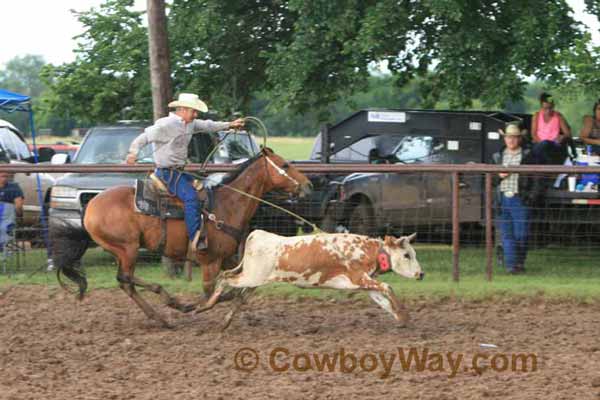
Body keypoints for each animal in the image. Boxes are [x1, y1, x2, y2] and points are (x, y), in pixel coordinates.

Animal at [51, 148, 312, 326]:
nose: (308, 185)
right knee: (125, 278)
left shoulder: (227, 258)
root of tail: (91, 206)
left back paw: (160, 316)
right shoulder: (210, 262)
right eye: (285, 165)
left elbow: (242, 287)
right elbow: (212, 293)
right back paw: (169, 303)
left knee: (126, 283)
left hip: (121, 251)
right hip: (127, 248)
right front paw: (194, 307)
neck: (227, 205)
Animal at [197, 228, 422, 328]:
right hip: (251, 276)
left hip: (254, 281)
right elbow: (387, 286)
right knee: (224, 278)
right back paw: (205, 306)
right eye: (406, 255)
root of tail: (257, 235)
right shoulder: (359, 278)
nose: (421, 274)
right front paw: (403, 314)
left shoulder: (362, 284)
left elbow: (383, 300)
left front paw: (402, 317)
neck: (365, 251)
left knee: (238, 297)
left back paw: (225, 321)